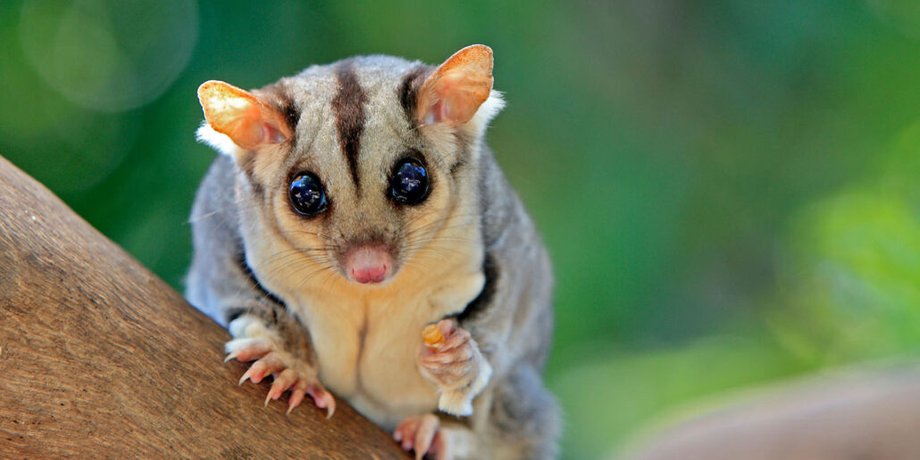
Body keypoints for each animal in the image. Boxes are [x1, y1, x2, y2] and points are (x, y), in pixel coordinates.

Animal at [186, 44, 559, 459]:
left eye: (411, 180)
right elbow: (239, 290)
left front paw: (460, 362)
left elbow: (501, 311)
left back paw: (440, 435)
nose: (369, 268)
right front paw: (288, 361)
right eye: (304, 193)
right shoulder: (220, 220)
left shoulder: (504, 232)